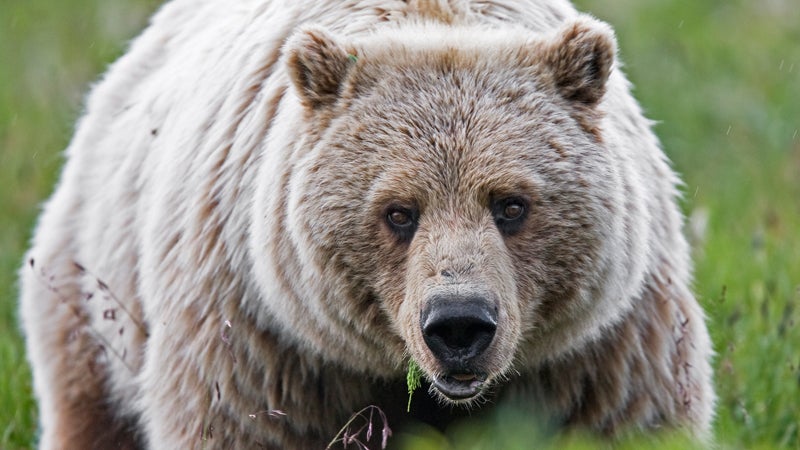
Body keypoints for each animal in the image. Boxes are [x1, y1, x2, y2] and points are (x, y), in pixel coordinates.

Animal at [21, 0, 716, 446]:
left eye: (511, 204)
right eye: (398, 212)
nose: (458, 325)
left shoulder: (602, 351)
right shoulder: (262, 344)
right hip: (93, 293)